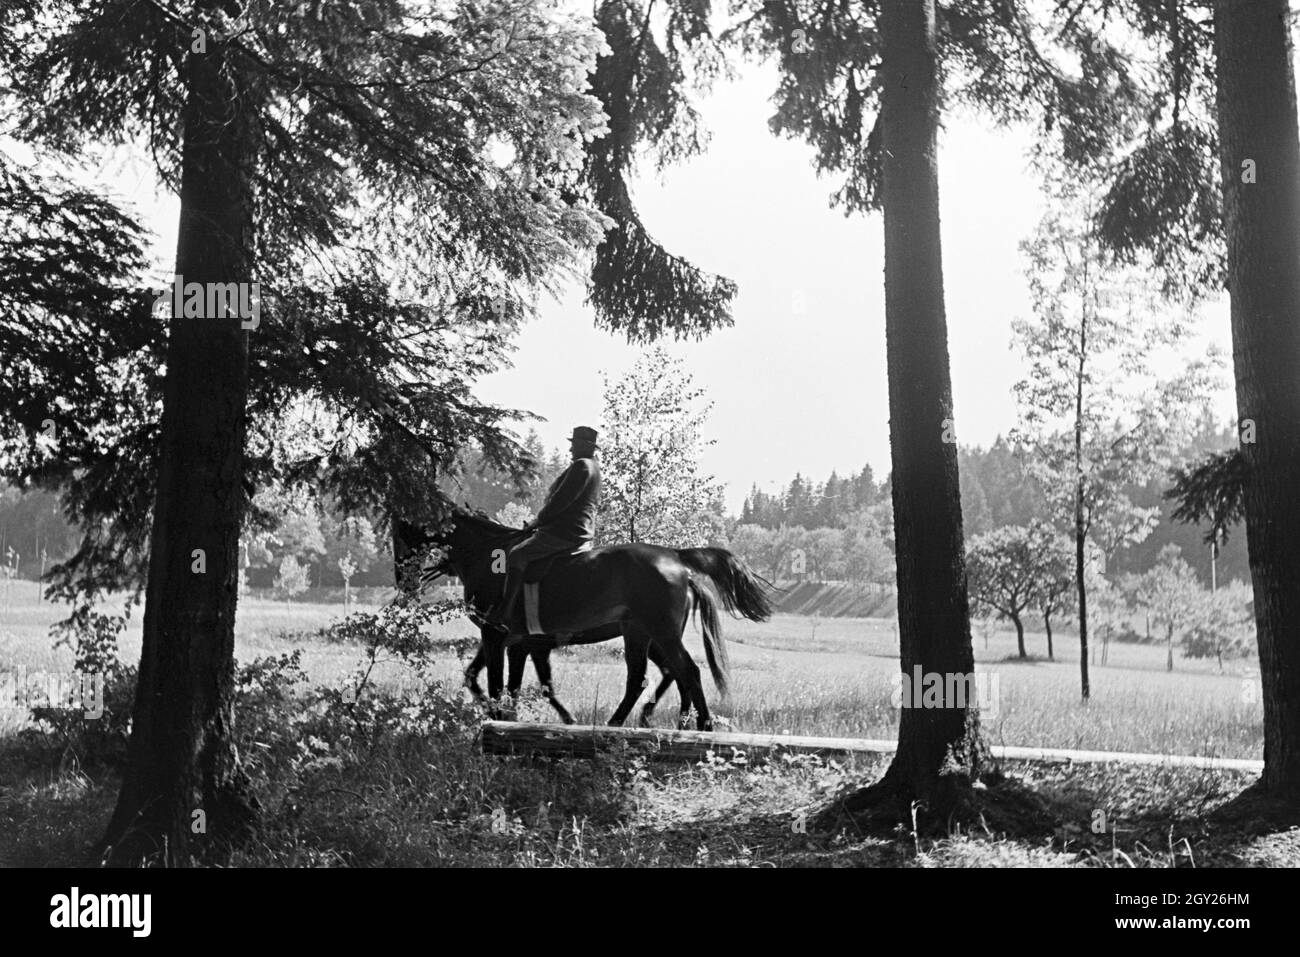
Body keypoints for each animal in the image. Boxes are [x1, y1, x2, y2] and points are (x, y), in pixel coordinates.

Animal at [395, 512, 769, 728]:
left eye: (401, 531)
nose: (403, 580)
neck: (486, 558)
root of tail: (676, 557)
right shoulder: (519, 644)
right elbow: (493, 680)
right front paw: (515, 716)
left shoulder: (498, 638)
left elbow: (499, 684)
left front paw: (499, 716)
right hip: (642, 635)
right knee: (660, 675)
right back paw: (653, 721)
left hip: (658, 633)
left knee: (680, 672)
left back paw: (695, 724)